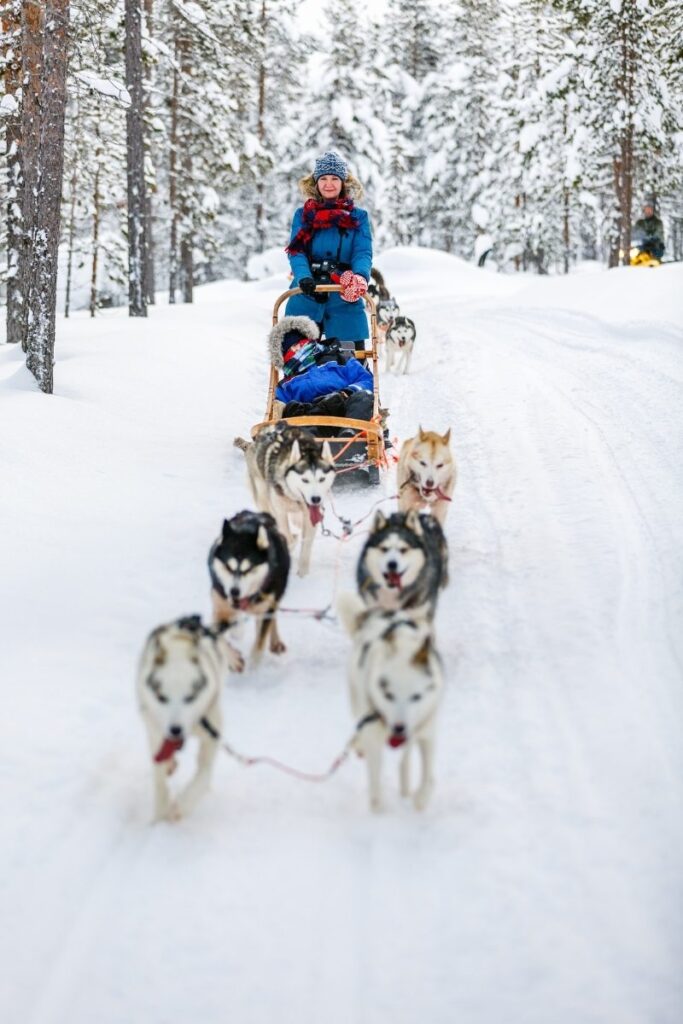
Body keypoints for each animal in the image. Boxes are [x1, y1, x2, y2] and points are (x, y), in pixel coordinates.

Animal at [137, 614, 232, 823]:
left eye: (190, 697)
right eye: (162, 697)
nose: (175, 730)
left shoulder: (212, 732)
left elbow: (203, 775)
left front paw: (181, 806)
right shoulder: (155, 730)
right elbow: (159, 776)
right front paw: (160, 814)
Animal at [210, 509, 290, 663]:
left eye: (249, 569)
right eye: (228, 567)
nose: (234, 591)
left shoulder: (266, 609)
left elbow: (259, 645)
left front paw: (254, 663)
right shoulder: (220, 608)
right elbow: (219, 638)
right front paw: (234, 659)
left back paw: (275, 641)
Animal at [235, 423, 335, 581]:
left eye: (321, 479)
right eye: (305, 480)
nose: (316, 499)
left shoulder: (310, 516)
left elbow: (306, 544)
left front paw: (303, 573)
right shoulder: (280, 512)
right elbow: (288, 537)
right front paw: (290, 543)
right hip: (263, 497)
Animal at [335, 598, 444, 811]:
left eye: (416, 697)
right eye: (389, 695)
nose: (399, 728)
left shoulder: (427, 733)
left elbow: (429, 779)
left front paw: (420, 799)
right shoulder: (374, 736)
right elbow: (375, 787)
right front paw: (379, 814)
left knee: (405, 760)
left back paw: (406, 789)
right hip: (357, 701)